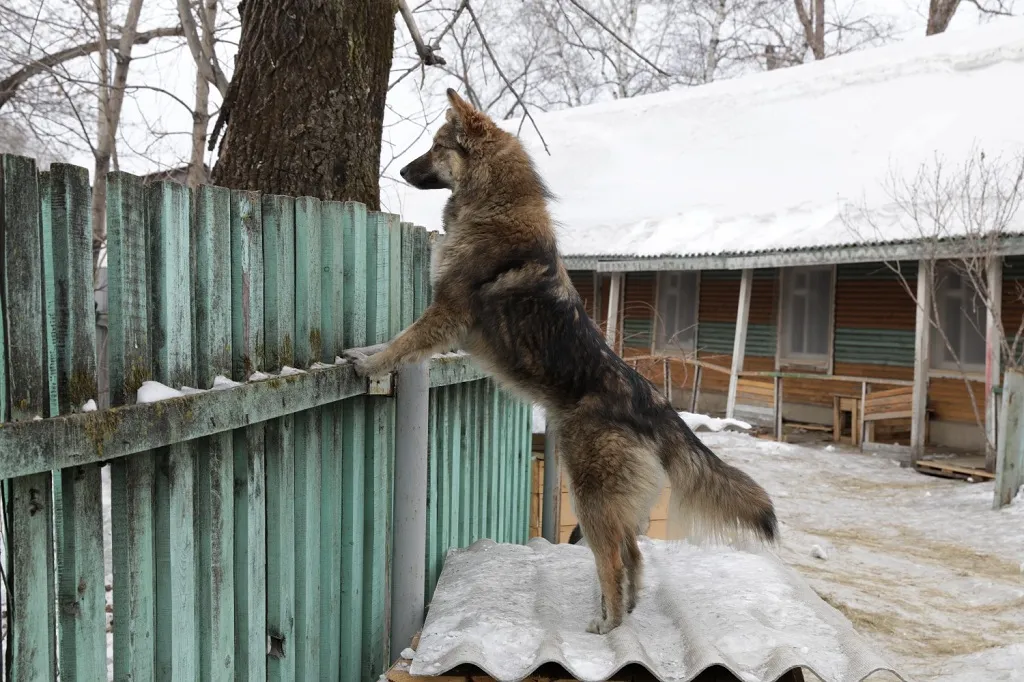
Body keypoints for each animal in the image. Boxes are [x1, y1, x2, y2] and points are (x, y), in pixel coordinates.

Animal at [344, 89, 774, 630]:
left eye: (438, 146)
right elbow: (395, 339)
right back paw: (626, 612)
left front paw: (369, 366)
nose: (400, 170)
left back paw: (608, 624)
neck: (495, 204)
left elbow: (401, 344)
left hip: (589, 497)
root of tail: (653, 403)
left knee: (613, 560)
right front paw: (363, 353)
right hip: (607, 501)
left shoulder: (444, 315)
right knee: (634, 554)